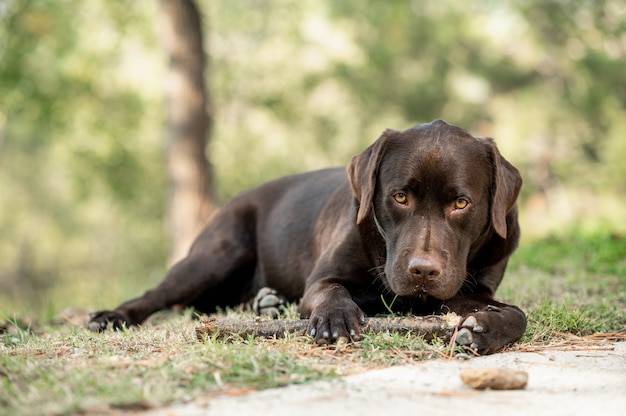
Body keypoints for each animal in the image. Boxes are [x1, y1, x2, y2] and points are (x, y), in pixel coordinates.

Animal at [88, 119, 524, 354]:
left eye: (461, 203)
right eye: (400, 196)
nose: (422, 271)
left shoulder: (471, 289)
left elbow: (516, 313)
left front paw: (485, 329)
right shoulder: (322, 278)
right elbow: (331, 291)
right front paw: (334, 318)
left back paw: (266, 304)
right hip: (214, 256)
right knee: (157, 295)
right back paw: (110, 317)